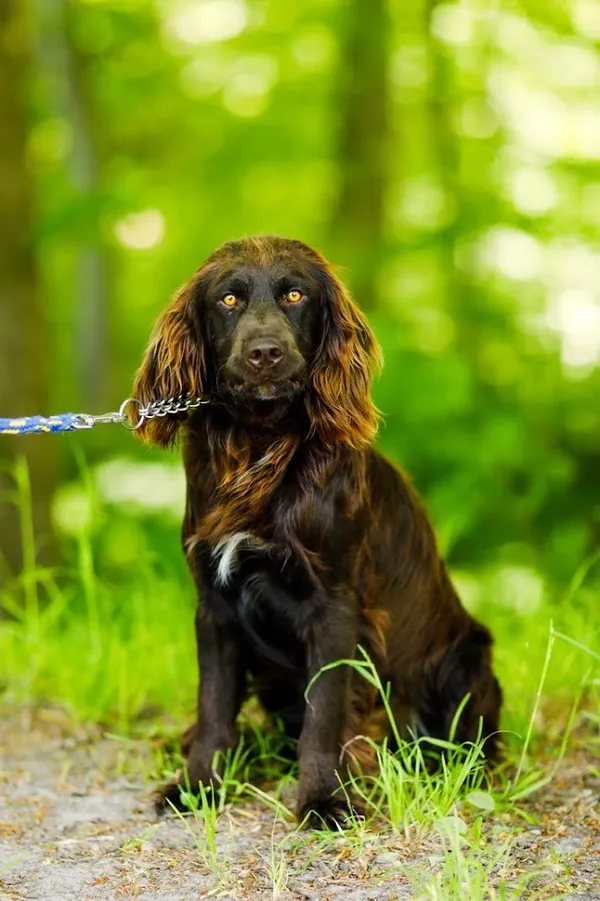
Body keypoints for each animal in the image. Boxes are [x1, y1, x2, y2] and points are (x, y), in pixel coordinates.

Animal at [132, 236, 502, 828]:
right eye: (229, 299)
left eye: (295, 295)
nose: (265, 353)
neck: (260, 449)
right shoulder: (214, 605)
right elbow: (214, 707)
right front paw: (198, 785)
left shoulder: (335, 606)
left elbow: (324, 713)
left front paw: (324, 798)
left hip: (467, 660)